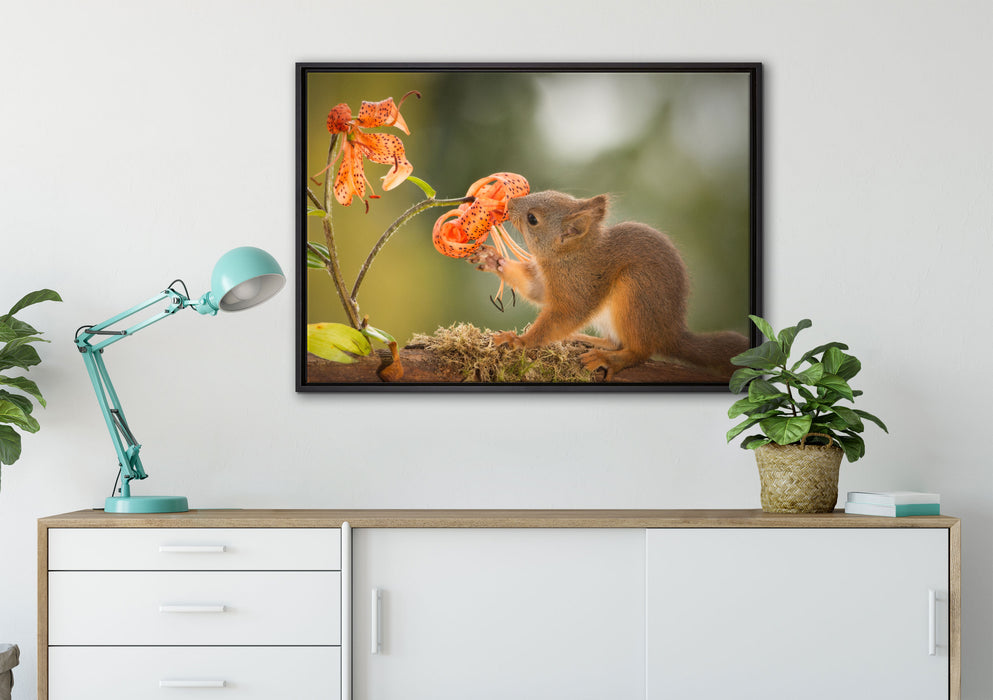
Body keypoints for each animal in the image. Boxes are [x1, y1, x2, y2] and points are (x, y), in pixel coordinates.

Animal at [468, 190, 749, 381]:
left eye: (532, 219)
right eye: (547, 191)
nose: (508, 204)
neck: (569, 256)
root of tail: (669, 333)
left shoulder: (580, 286)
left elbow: (562, 317)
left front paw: (520, 341)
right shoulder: (548, 283)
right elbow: (535, 290)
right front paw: (493, 260)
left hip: (636, 292)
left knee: (640, 351)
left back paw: (610, 359)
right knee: (616, 342)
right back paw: (587, 340)